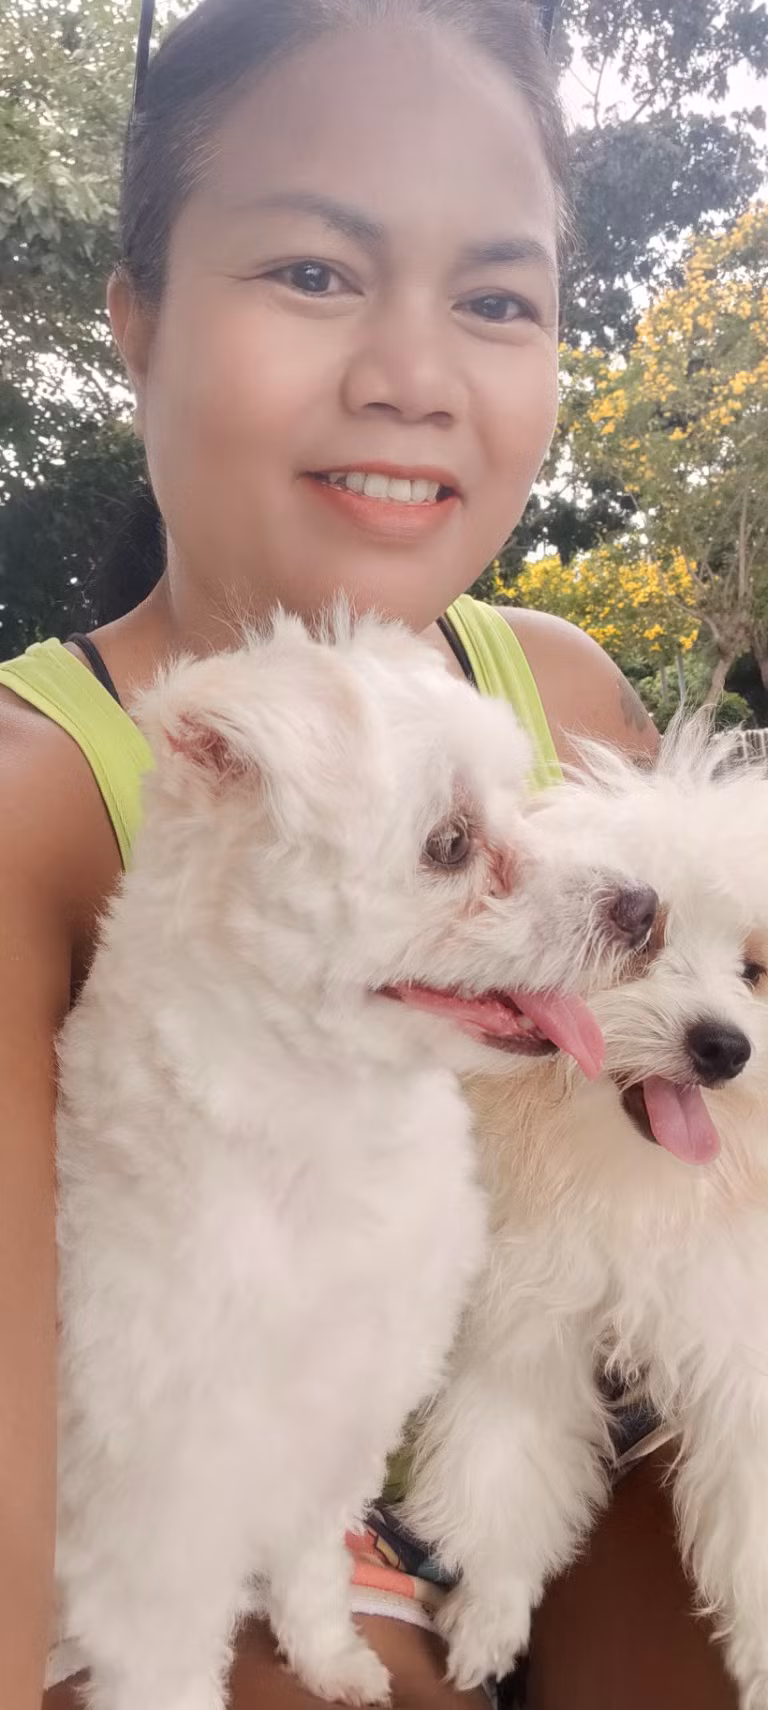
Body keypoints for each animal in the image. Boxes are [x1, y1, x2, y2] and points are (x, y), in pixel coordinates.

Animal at [405, 722, 768, 1710]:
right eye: (644, 938)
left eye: (756, 970)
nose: (726, 1047)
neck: (633, 1183)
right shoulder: (529, 1319)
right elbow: (505, 1463)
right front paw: (490, 1611)